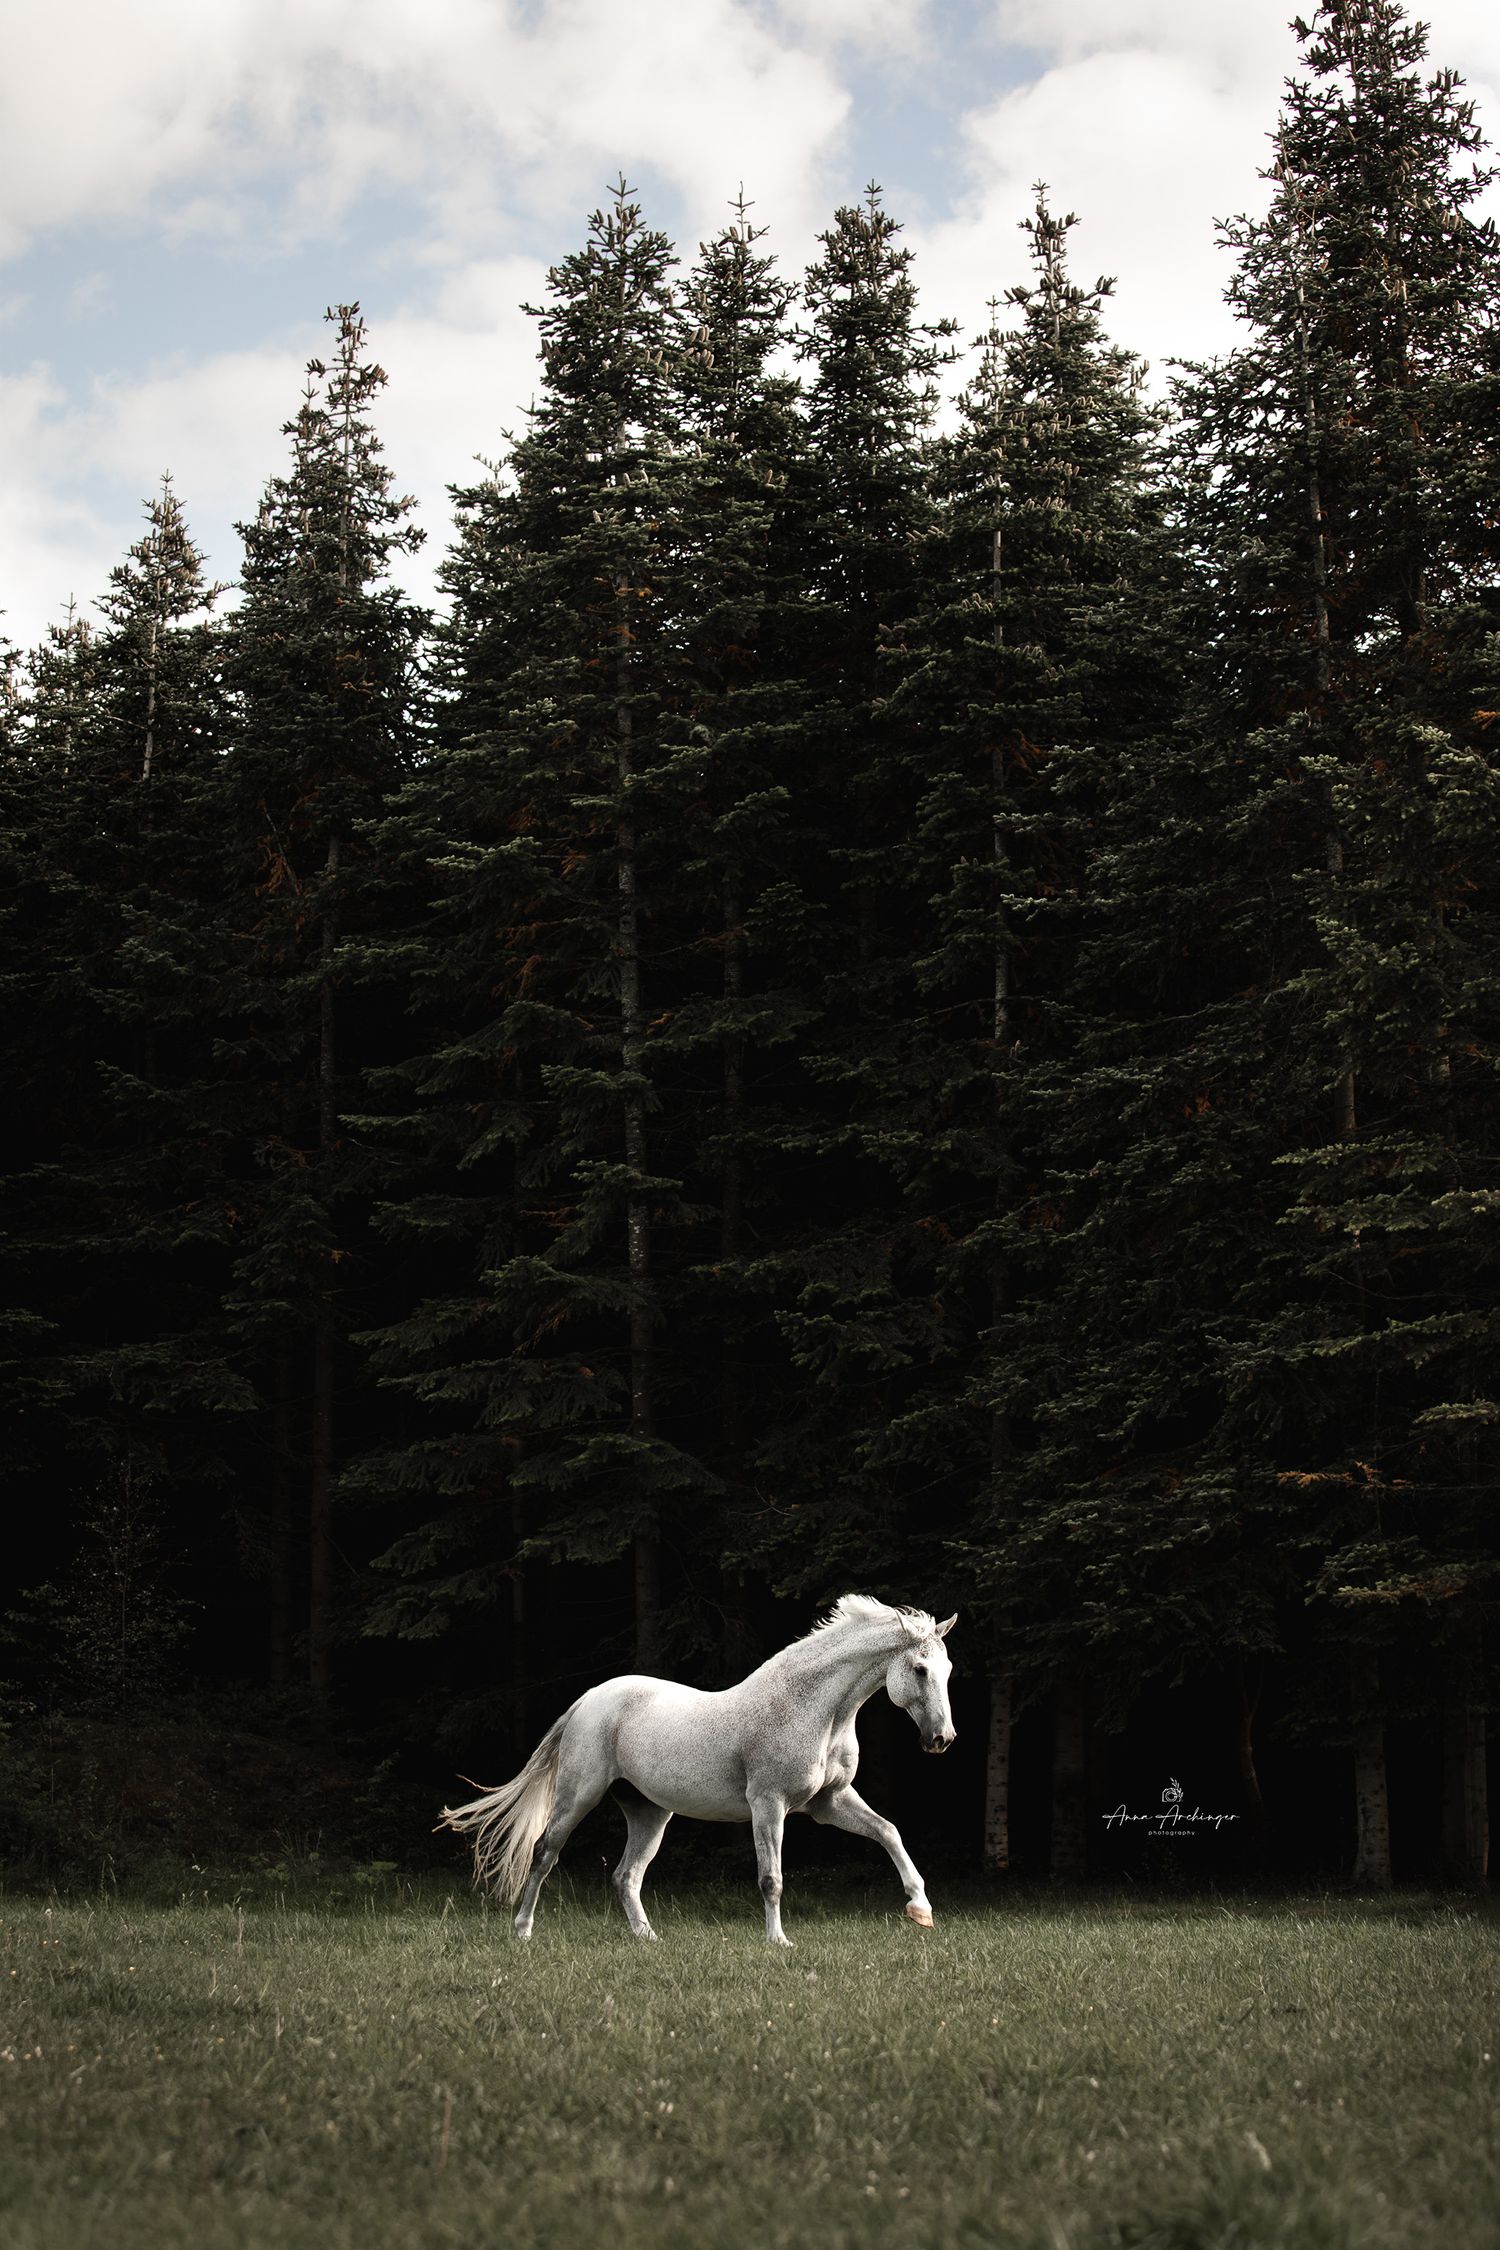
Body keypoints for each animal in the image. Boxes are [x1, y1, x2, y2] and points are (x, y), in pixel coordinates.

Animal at [440, 1594, 957, 1946]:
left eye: (947, 1669)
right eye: (919, 1669)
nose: (942, 1740)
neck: (815, 1709)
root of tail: (589, 1699)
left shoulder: (829, 1803)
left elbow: (889, 1832)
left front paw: (921, 1909)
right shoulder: (768, 1804)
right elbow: (771, 1877)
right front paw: (778, 1941)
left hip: (649, 1813)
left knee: (626, 1875)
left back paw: (647, 1938)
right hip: (578, 1795)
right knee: (546, 1853)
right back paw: (523, 1930)